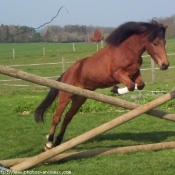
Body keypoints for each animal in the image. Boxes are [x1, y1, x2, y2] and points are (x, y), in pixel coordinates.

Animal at [33, 19, 168, 150]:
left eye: (165, 42)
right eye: (155, 43)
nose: (165, 65)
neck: (127, 51)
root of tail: (66, 73)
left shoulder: (135, 73)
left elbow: (140, 85)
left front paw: (115, 89)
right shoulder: (117, 73)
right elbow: (130, 85)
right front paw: (115, 89)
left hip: (79, 98)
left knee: (67, 117)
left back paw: (58, 142)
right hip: (66, 95)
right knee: (57, 117)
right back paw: (49, 143)